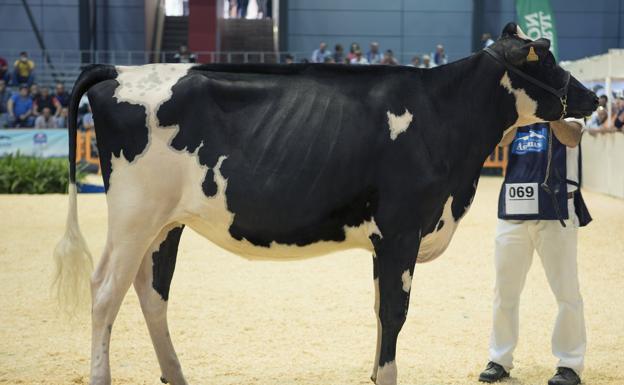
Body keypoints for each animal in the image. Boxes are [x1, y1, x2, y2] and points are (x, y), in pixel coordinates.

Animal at [54, 24, 600, 384]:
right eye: (547, 59)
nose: (593, 98)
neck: (445, 115)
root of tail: (120, 70)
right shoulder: (401, 230)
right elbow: (395, 313)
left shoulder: (385, 240)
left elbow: (380, 310)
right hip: (133, 214)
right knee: (105, 290)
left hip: (164, 223)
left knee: (151, 292)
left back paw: (176, 375)